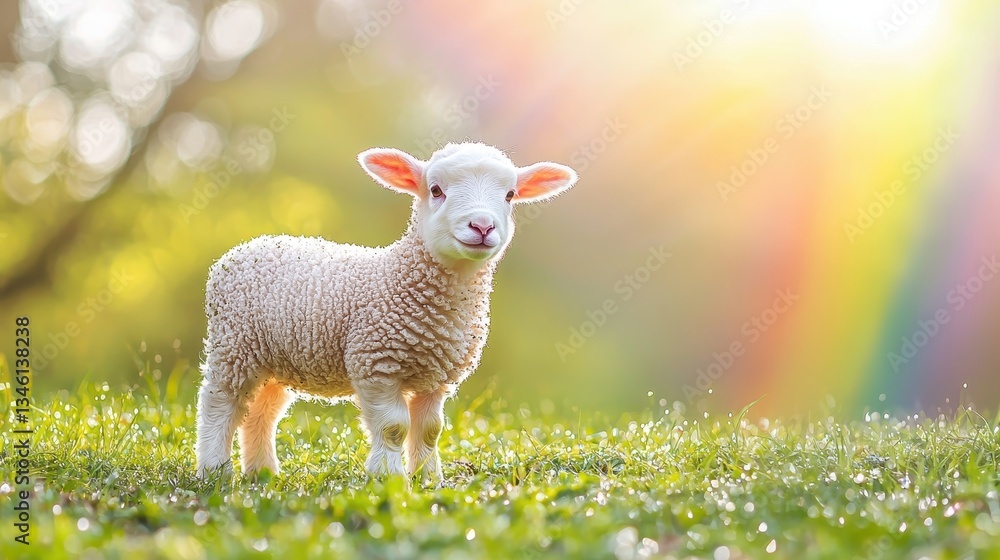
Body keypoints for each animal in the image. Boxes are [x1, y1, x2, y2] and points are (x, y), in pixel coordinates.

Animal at [195, 142, 578, 482]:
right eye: (435, 190)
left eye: (510, 195)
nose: (482, 227)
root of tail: (244, 247)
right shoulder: (376, 362)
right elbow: (394, 427)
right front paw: (388, 478)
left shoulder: (436, 375)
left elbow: (430, 429)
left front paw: (427, 478)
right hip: (234, 345)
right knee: (219, 404)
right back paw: (214, 472)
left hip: (274, 358)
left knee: (261, 412)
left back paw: (262, 473)